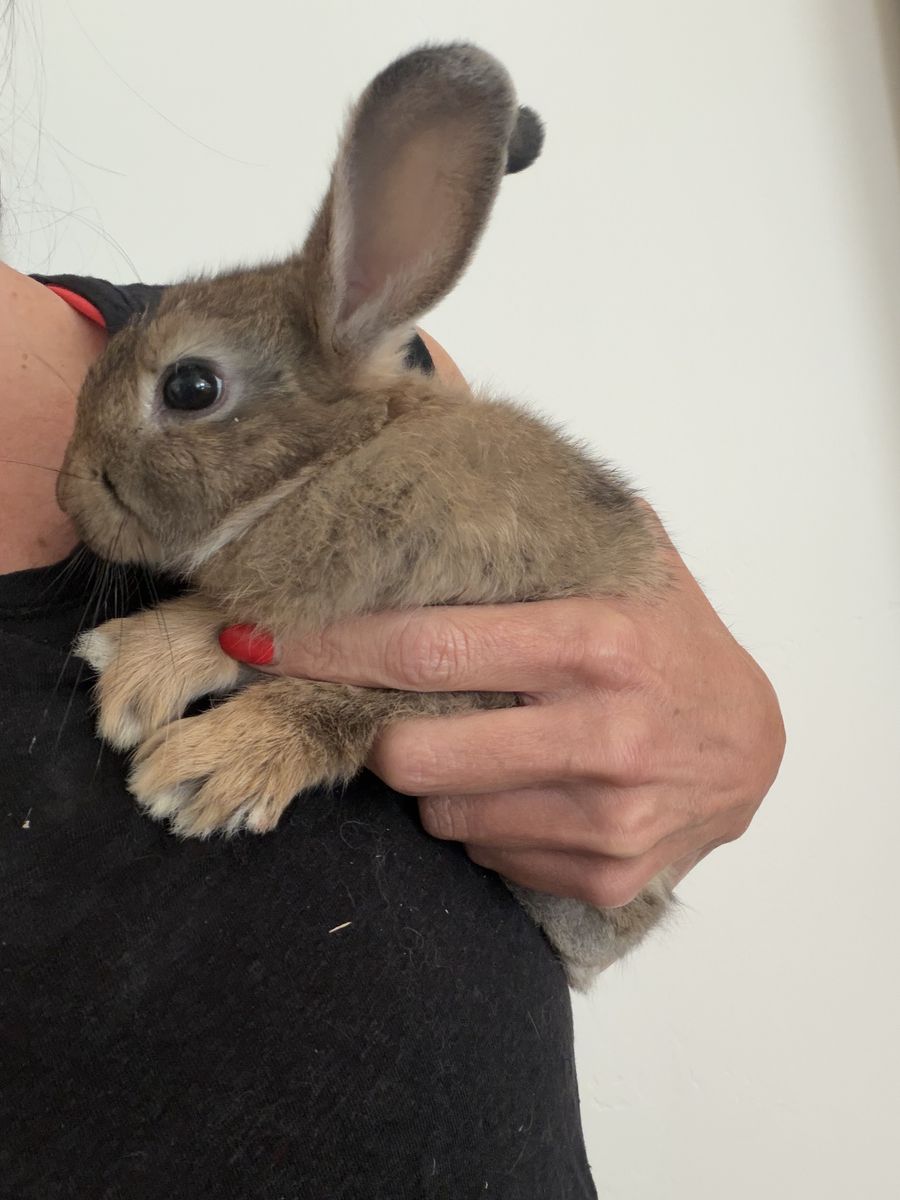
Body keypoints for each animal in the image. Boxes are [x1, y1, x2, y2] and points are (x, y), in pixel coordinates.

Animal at [58, 43, 675, 990]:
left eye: (190, 386)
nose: (67, 490)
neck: (332, 466)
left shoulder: (490, 671)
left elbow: (343, 701)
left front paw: (207, 770)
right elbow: (238, 625)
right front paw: (136, 666)